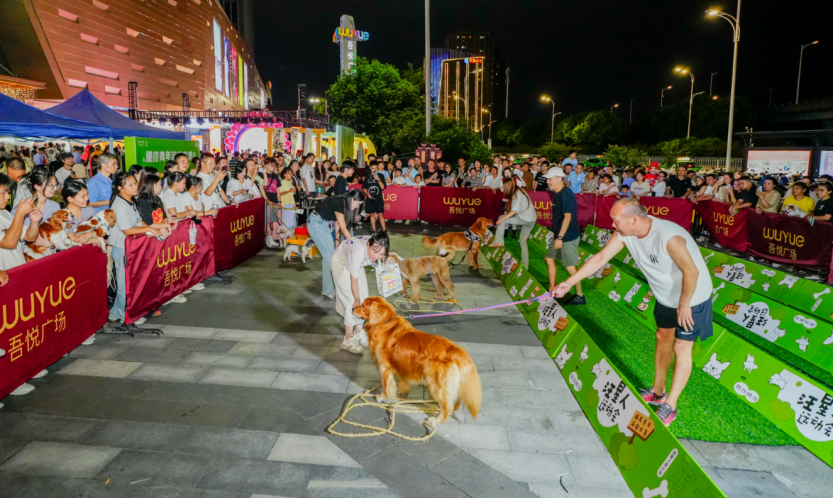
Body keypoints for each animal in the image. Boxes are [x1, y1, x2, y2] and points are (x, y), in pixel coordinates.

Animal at [352, 296, 480, 428]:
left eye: (363, 305)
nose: (352, 309)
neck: (384, 322)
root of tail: (455, 349)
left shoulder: (384, 368)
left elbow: (386, 386)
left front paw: (382, 397)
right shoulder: (403, 365)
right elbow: (403, 380)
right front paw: (402, 390)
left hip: (436, 385)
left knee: (446, 406)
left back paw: (437, 420)